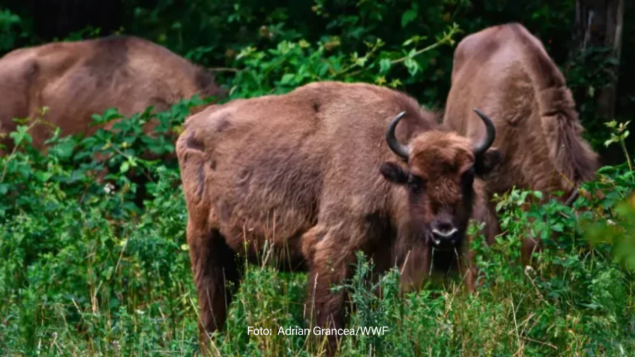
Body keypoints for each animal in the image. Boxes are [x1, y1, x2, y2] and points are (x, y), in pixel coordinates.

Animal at [175, 81, 502, 354]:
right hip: (205, 240)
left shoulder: (377, 260)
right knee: (212, 306)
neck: (382, 164)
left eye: (468, 176)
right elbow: (327, 317)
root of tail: (190, 129)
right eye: (415, 180)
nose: (445, 234)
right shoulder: (332, 249)